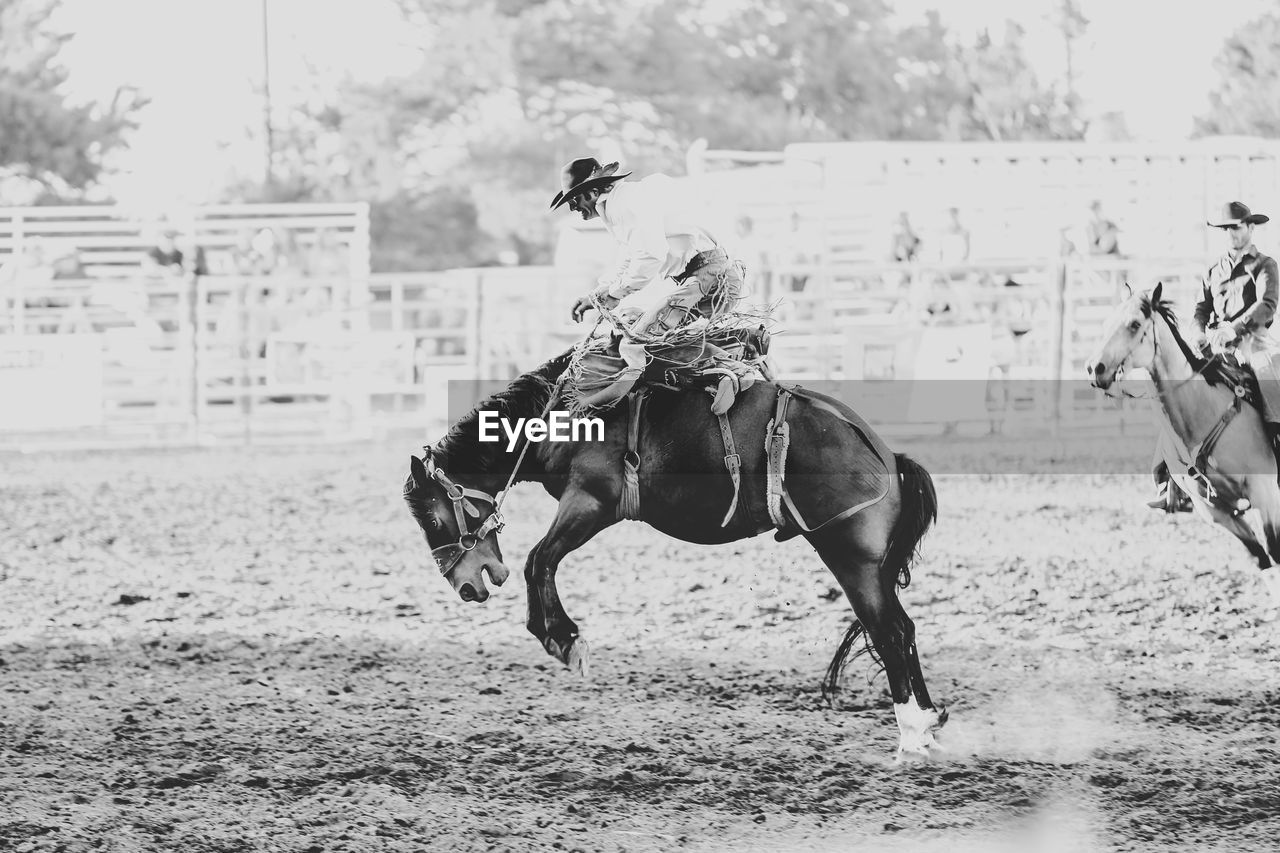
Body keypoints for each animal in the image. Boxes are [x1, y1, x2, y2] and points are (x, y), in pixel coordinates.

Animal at [404, 345, 947, 758]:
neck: (564, 413)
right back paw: (930, 725)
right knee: (903, 628)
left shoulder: (591, 501)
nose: (466, 586)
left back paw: (912, 735)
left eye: (431, 518)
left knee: (889, 630)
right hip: (872, 566)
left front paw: (563, 640)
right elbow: (540, 562)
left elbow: (539, 560)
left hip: (851, 559)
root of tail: (885, 452)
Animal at [1090, 281, 1280, 601]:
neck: (1202, 414)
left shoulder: (1264, 493)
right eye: (1105, 324)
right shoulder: (1214, 511)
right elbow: (1261, 560)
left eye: (1135, 324)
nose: (1095, 368)